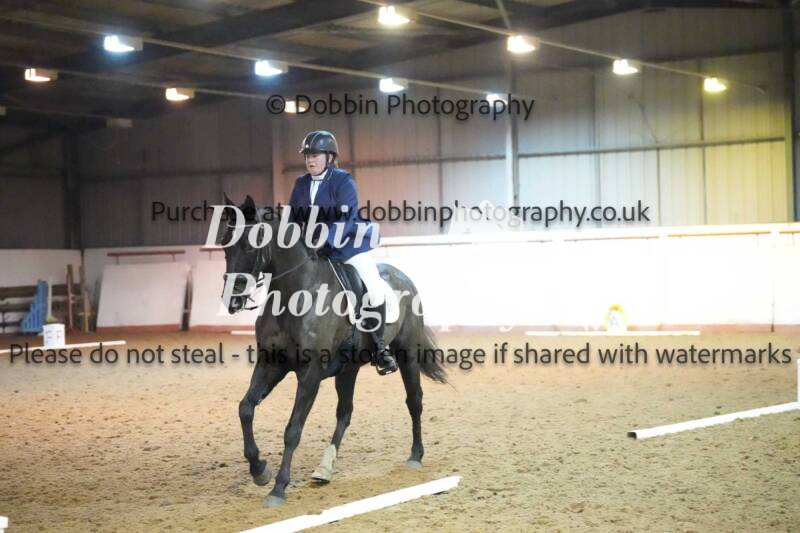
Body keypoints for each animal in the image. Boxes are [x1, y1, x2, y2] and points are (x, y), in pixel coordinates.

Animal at [220, 195, 447, 507]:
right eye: (224, 244)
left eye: (250, 245)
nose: (232, 301)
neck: (294, 295)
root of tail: (404, 278)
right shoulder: (271, 364)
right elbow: (245, 409)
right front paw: (259, 470)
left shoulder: (310, 373)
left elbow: (293, 430)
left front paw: (278, 488)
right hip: (348, 369)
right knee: (345, 413)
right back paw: (324, 469)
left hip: (407, 355)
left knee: (414, 401)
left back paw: (415, 456)